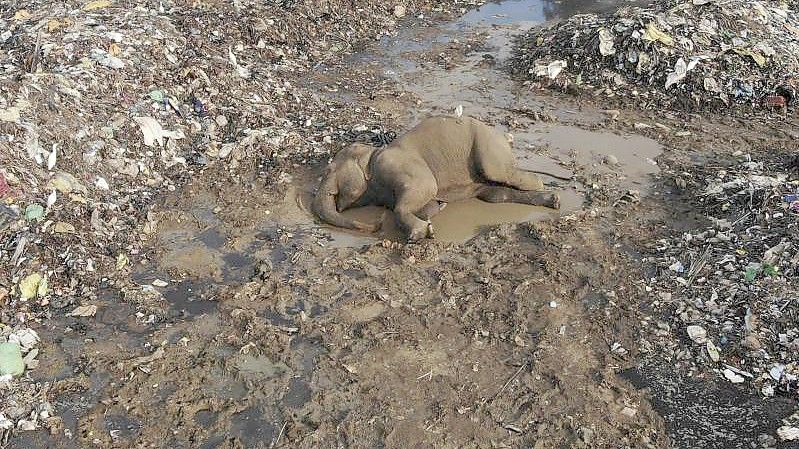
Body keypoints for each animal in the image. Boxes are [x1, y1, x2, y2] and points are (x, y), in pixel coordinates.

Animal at [312, 115, 564, 242]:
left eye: (328, 170)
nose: (376, 225)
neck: (372, 154)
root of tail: (504, 137)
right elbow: (426, 203)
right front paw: (436, 211)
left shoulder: (399, 165)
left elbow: (426, 188)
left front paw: (422, 234)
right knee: (495, 195)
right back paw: (552, 200)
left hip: (488, 146)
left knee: (504, 173)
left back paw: (546, 189)